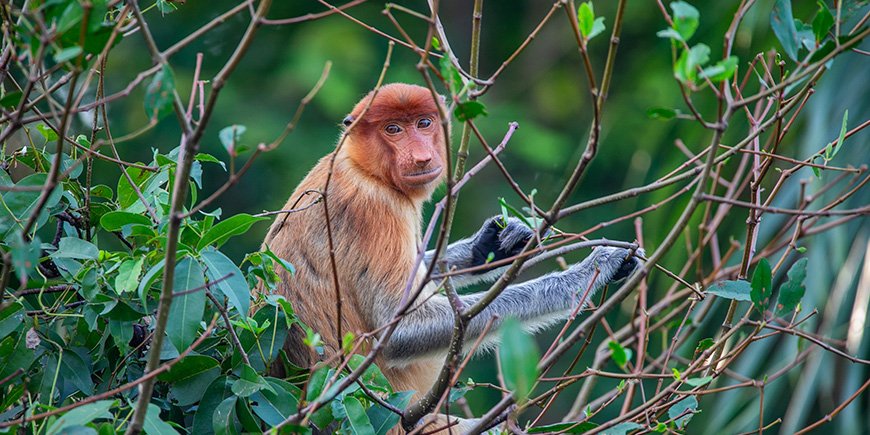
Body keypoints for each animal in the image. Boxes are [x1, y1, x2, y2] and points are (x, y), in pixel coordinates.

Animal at [262, 82, 644, 432]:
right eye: (393, 129)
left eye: (424, 123)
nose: (422, 157)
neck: (361, 167)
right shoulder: (377, 212)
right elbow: (398, 329)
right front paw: (593, 268)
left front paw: (496, 242)